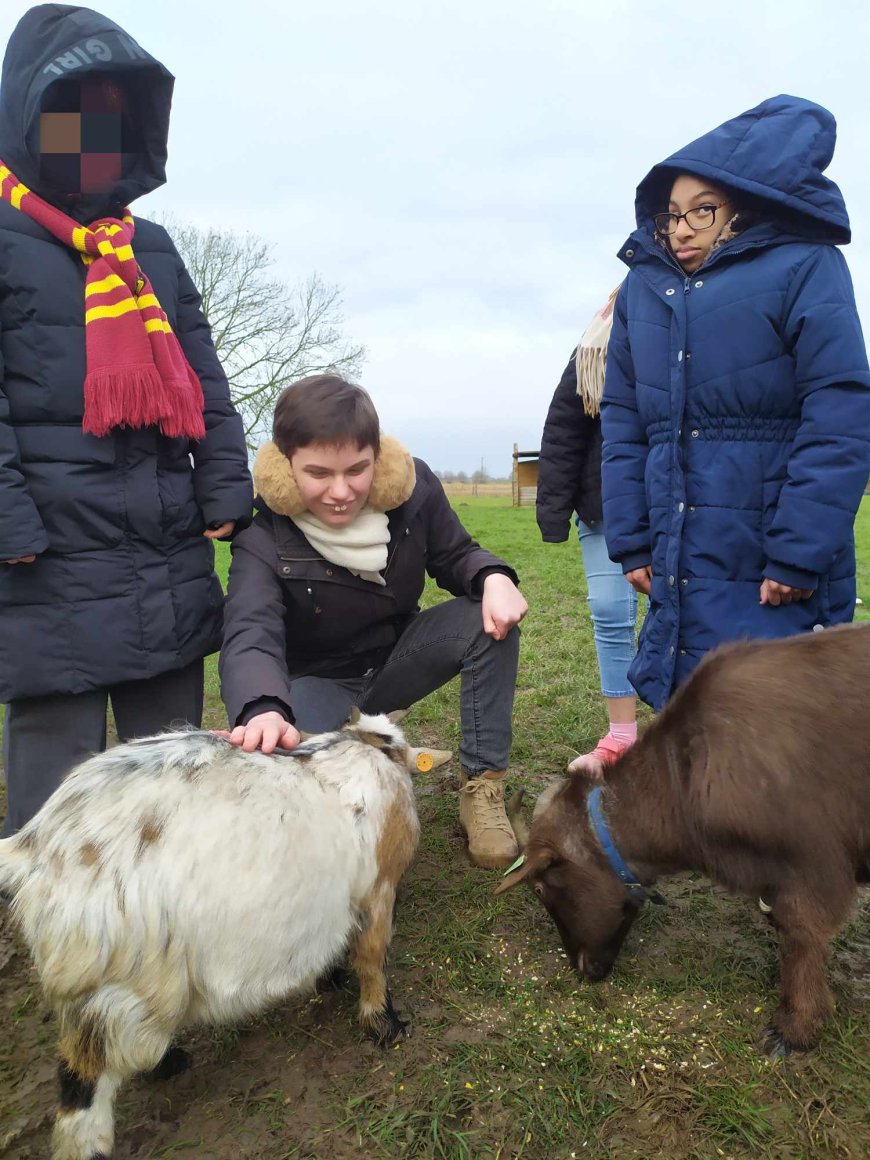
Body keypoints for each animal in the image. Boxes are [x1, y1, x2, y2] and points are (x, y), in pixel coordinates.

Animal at [0, 709, 422, 1155]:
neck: (363, 746)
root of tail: (32, 849)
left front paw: (332, 977)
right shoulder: (378, 890)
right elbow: (372, 959)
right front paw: (385, 1024)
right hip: (112, 987)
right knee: (80, 1102)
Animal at [496, 626, 870, 1053]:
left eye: (540, 888)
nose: (584, 968)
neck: (686, 776)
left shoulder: (811, 863)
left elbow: (801, 935)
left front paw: (796, 1027)